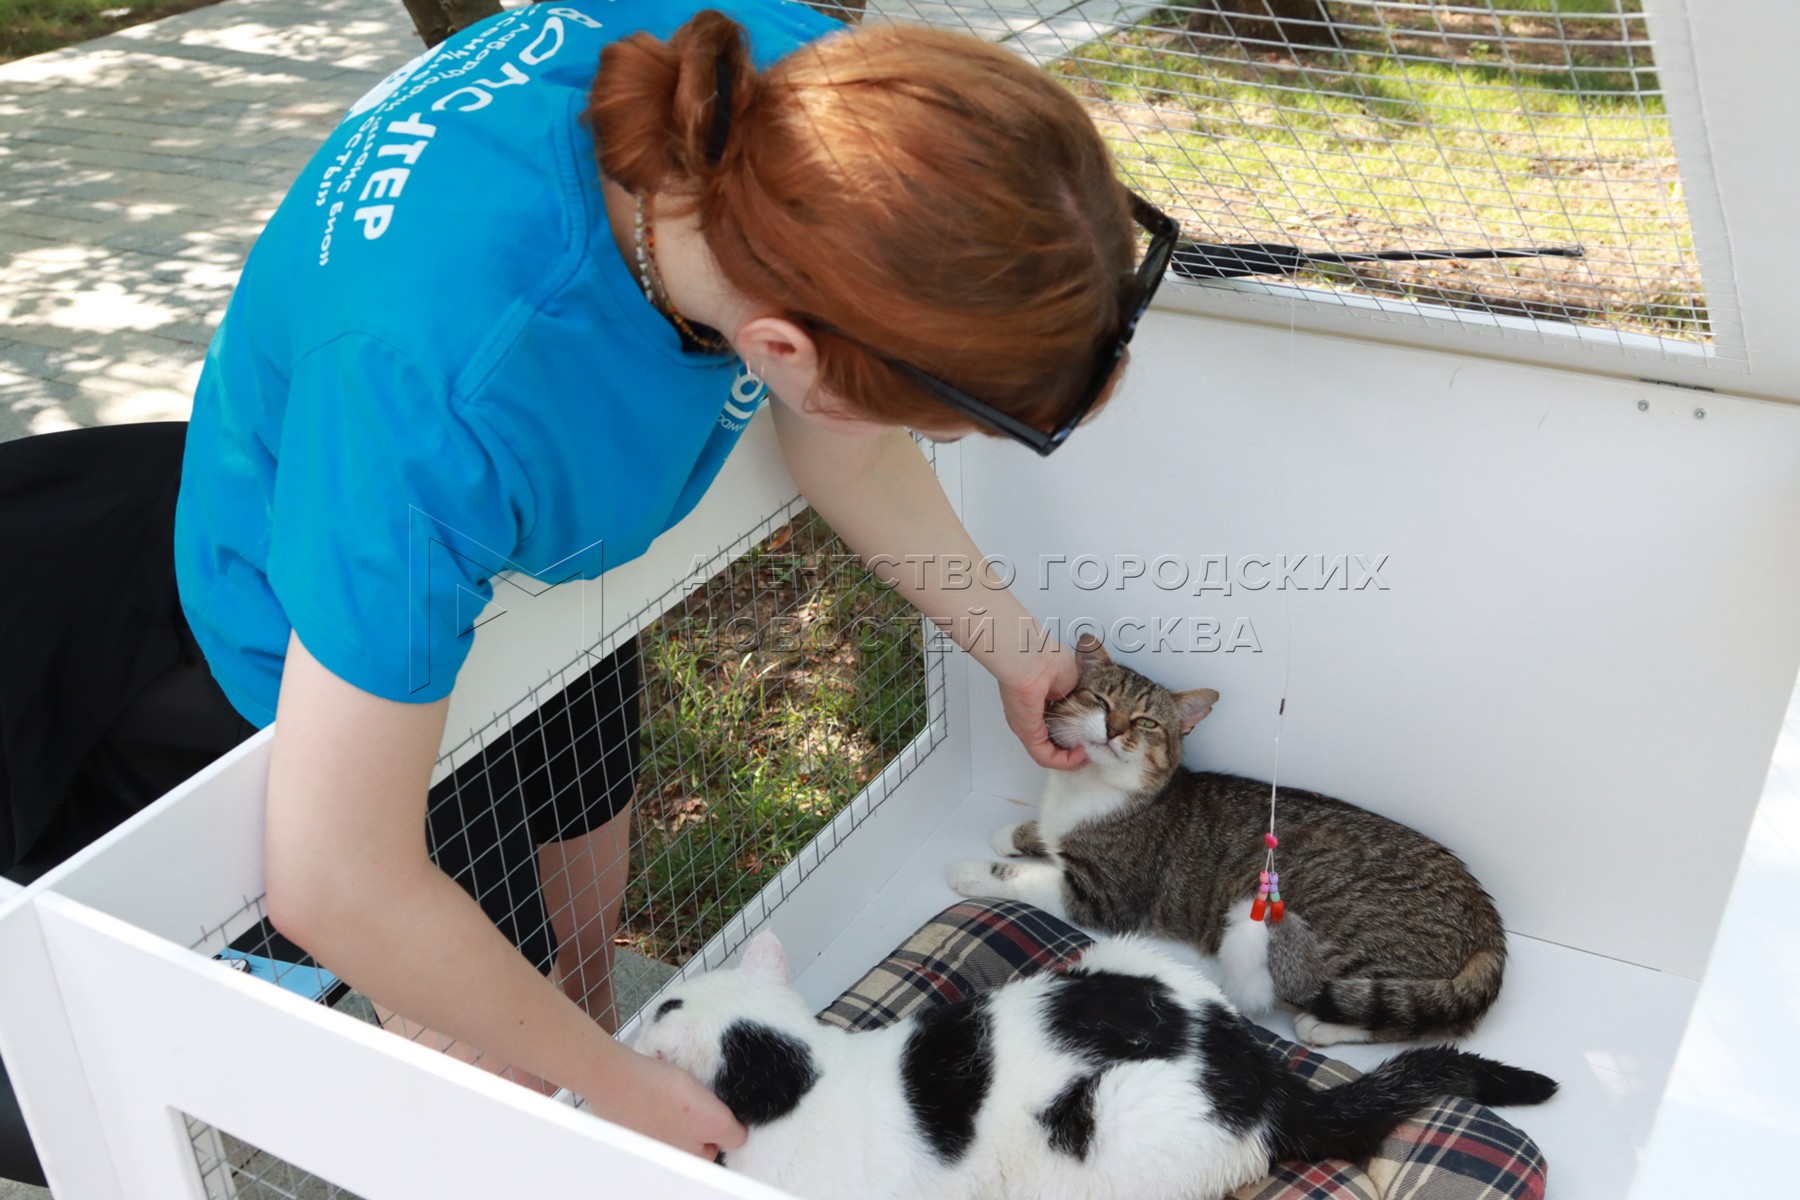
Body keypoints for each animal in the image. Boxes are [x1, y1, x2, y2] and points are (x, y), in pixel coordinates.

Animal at [630, 928, 1548, 1200]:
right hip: (1120, 952)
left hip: (1100, 1131)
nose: (633, 1016)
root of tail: (1262, 1076)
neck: (800, 1071)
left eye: (663, 1007)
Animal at [950, 633, 1512, 1043]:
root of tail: (1486, 917)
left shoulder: (1105, 897)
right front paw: (1012, 831)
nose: (1112, 729)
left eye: (1145, 722)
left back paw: (1325, 1025)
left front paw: (972, 869)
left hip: (1344, 938)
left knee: (1413, 1016)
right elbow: (1042, 837)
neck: (1087, 790)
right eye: (1099, 699)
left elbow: (1027, 877)